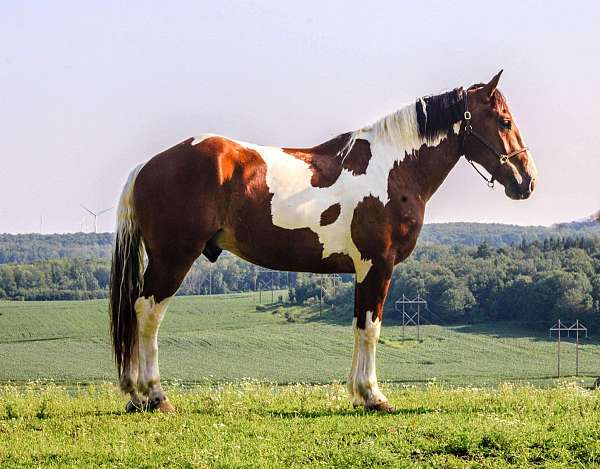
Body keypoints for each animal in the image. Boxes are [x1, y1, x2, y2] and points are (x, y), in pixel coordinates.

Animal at [109, 71, 540, 412]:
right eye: (504, 121)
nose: (528, 180)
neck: (392, 169)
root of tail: (146, 166)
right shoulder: (377, 264)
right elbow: (371, 328)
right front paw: (373, 396)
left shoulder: (363, 270)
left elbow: (358, 325)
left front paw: (359, 393)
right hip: (174, 258)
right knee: (147, 313)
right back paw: (154, 396)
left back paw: (136, 396)